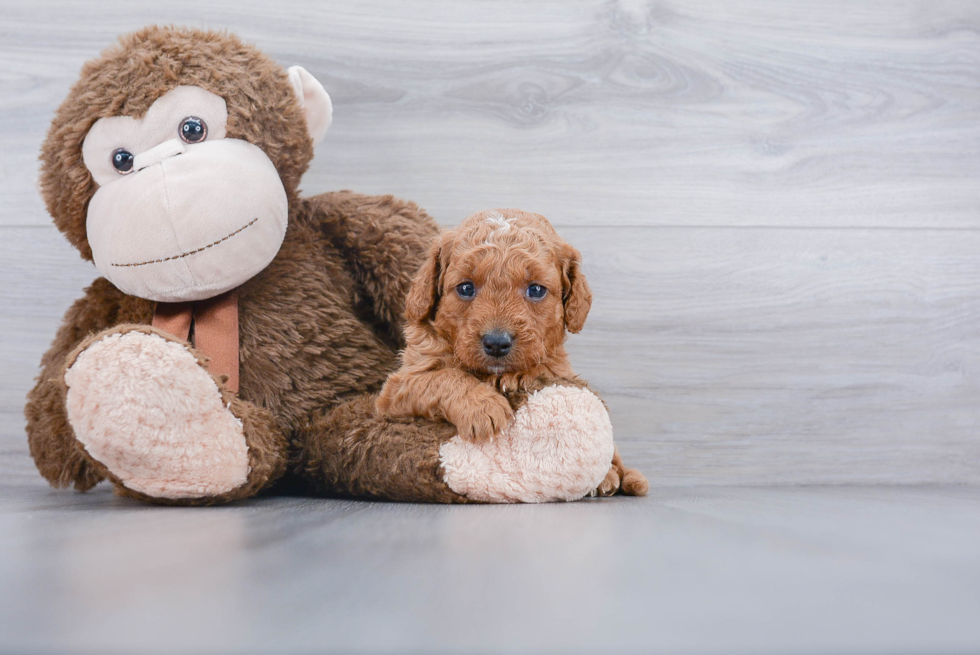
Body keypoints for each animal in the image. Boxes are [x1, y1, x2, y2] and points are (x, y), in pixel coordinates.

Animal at [378, 210, 648, 498]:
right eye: (465, 288)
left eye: (536, 290)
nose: (496, 343)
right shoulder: (397, 388)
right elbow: (442, 377)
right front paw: (483, 408)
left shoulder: (559, 370)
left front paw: (515, 380)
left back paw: (615, 477)